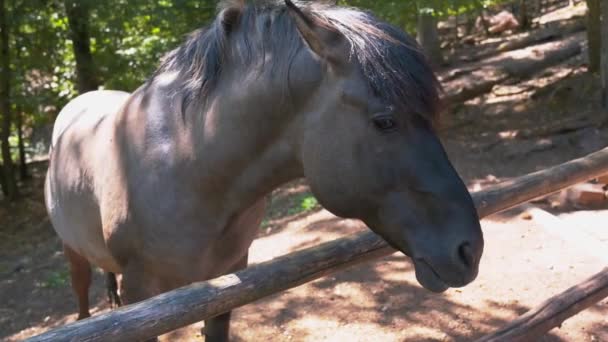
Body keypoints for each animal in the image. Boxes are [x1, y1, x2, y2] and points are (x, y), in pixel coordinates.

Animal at [45, 1, 484, 340]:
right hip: (74, 257)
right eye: (385, 121)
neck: (188, 167)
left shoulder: (223, 285)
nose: (469, 250)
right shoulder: (141, 294)